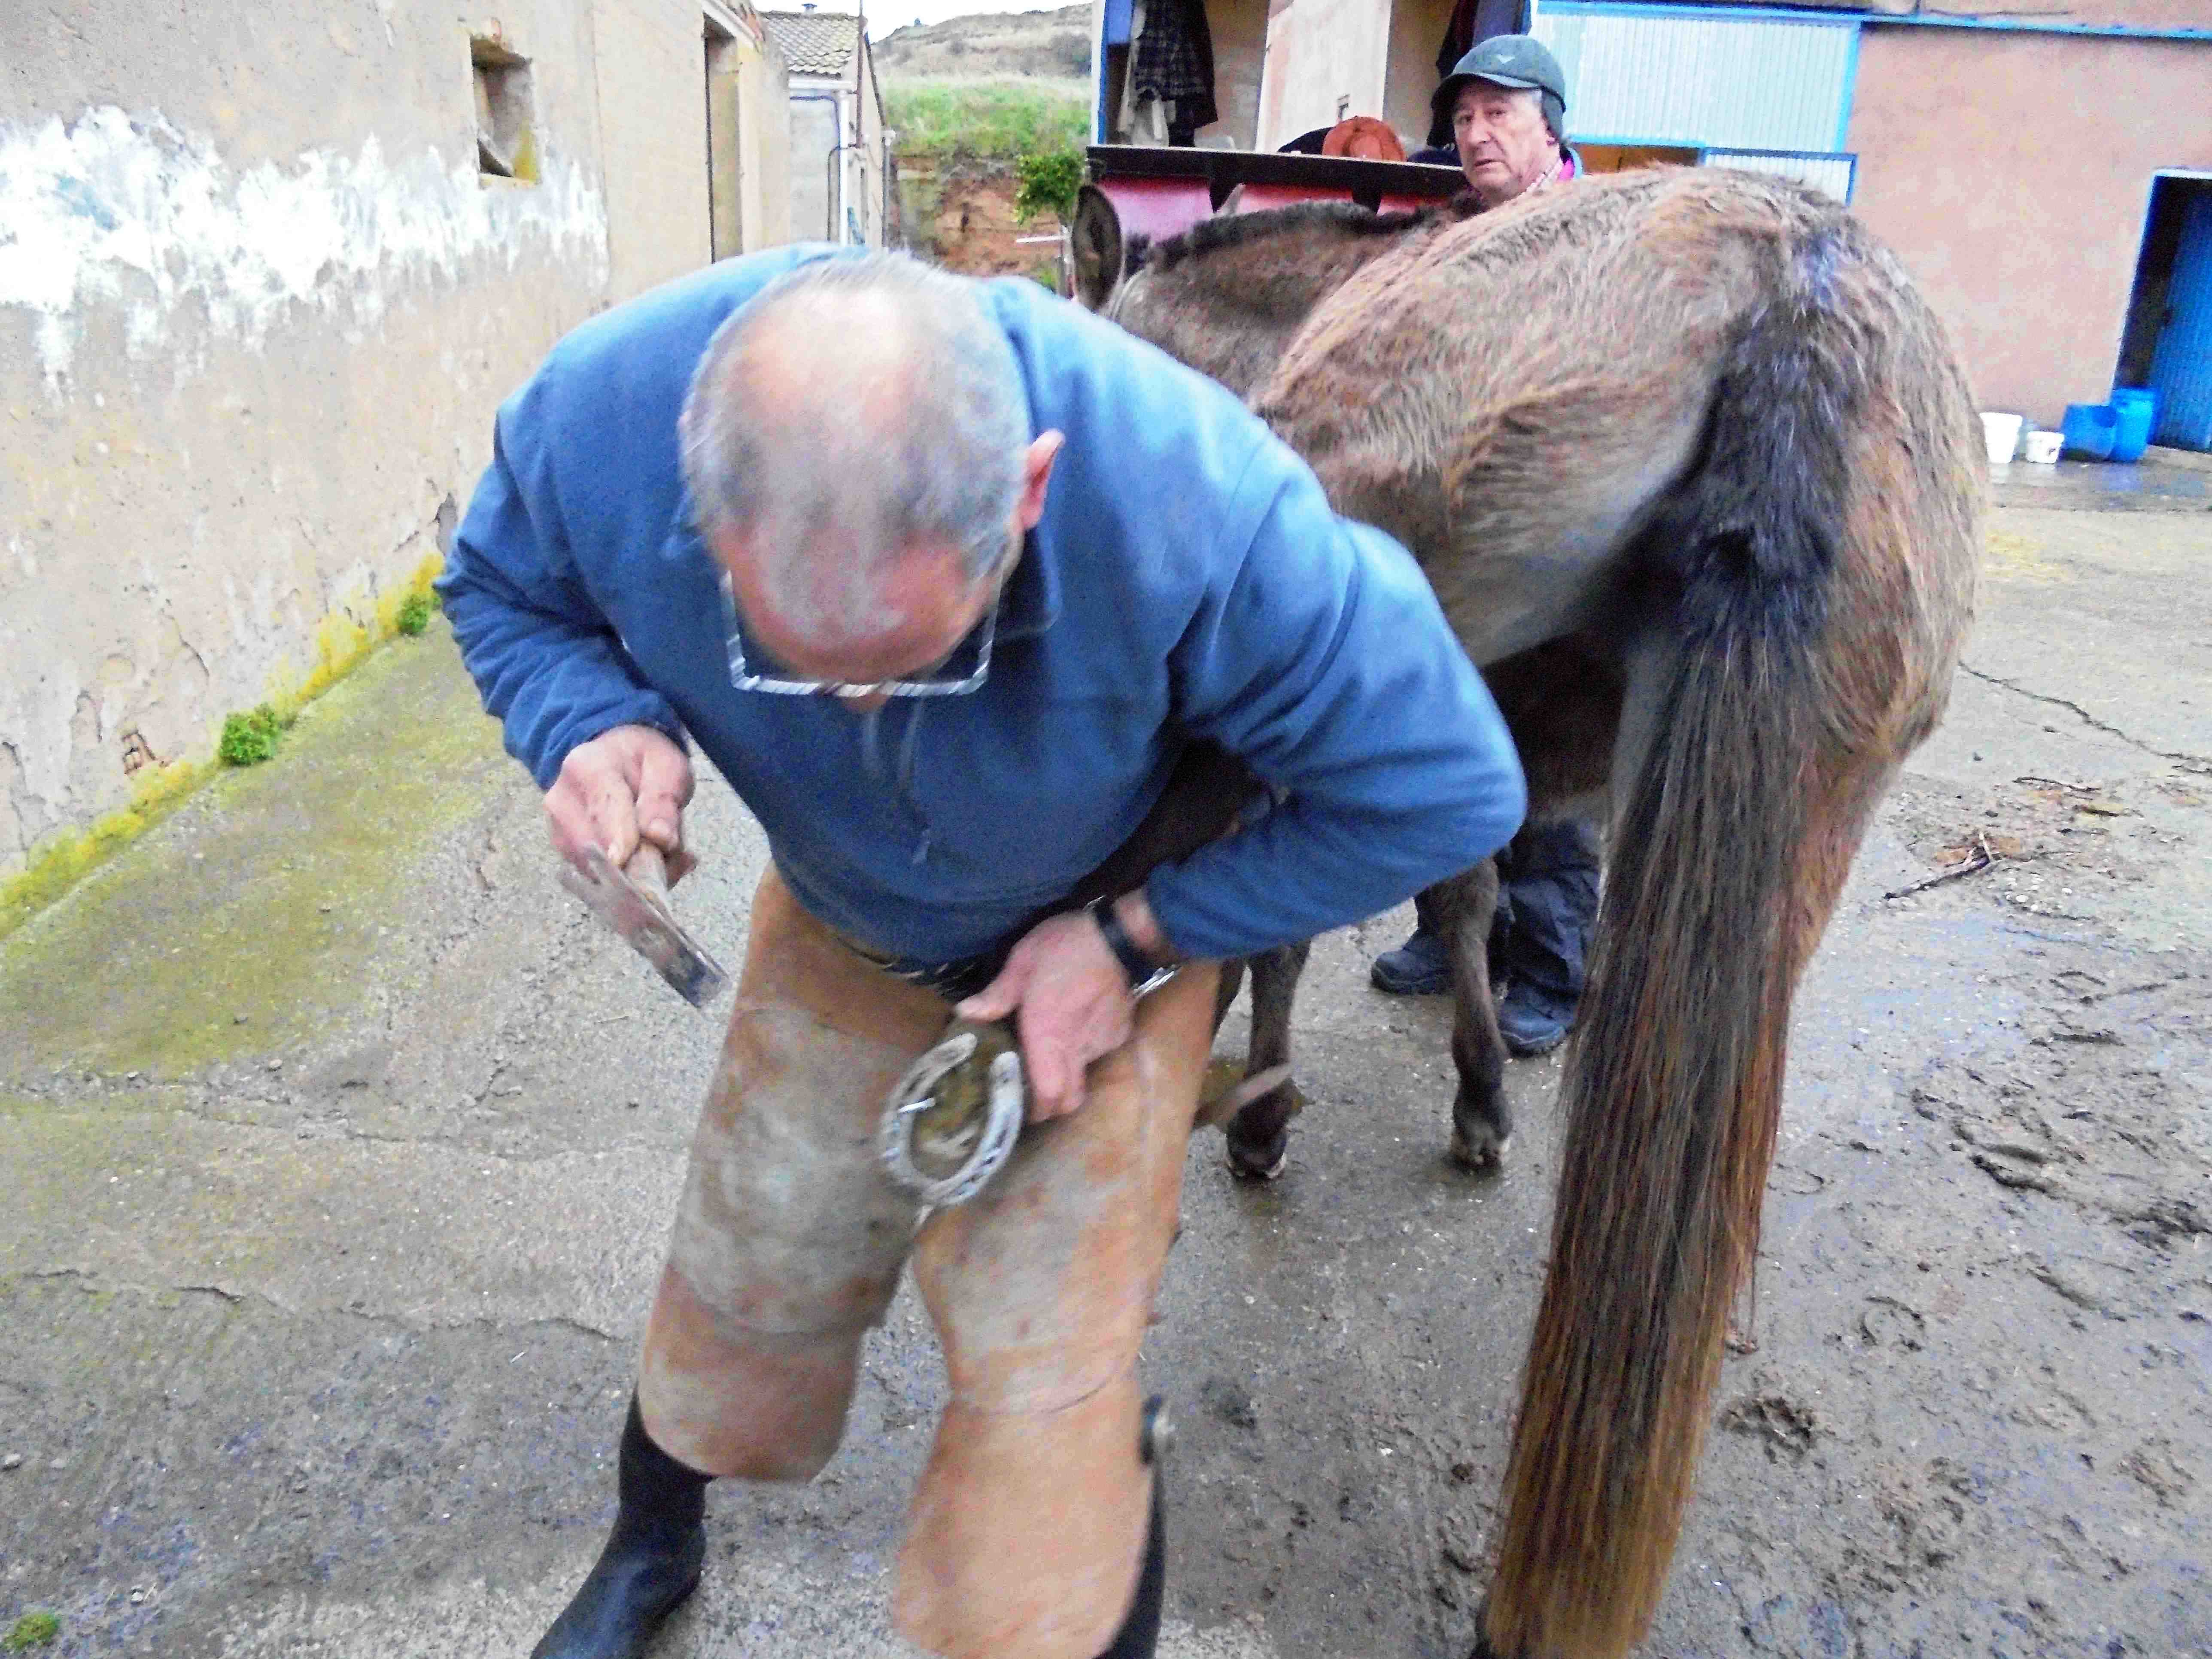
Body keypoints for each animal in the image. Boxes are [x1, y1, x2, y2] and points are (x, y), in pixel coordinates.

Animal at [1072, 166, 1984, 1659]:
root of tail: (1790, 293)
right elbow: (1465, 894)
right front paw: (1478, 1093)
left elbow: (1297, 927)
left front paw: (1269, 1114)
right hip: (1804, 814)